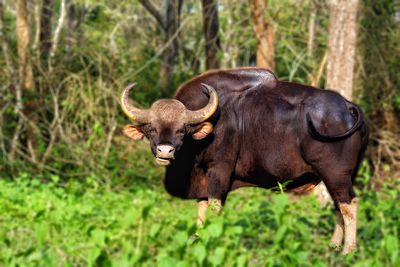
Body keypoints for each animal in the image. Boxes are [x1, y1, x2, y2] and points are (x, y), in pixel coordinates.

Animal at [121, 68, 368, 254]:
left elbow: (214, 209)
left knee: (349, 204)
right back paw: (334, 246)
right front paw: (198, 239)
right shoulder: (202, 180)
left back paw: (348, 251)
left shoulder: (219, 171)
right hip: (343, 175)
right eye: (151, 129)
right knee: (338, 205)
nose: (165, 150)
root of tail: (348, 106)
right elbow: (201, 211)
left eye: (182, 130)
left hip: (335, 174)